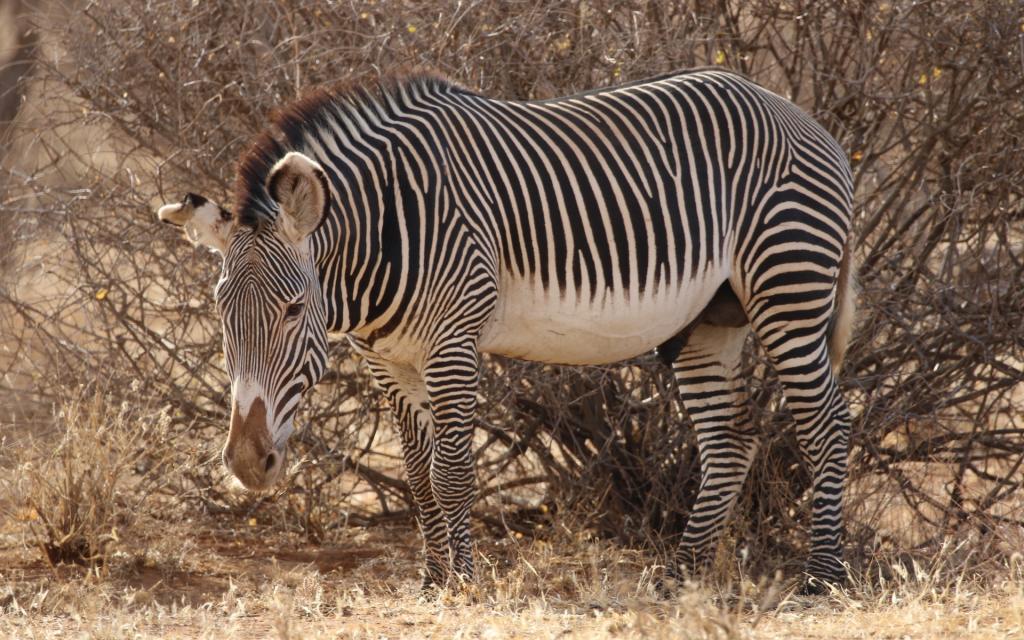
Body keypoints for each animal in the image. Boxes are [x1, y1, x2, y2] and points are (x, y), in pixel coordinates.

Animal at [157, 67, 856, 589]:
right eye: (223, 314)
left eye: (295, 310)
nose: (247, 464)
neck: (383, 235)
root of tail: (798, 113)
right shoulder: (390, 362)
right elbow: (419, 476)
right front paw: (433, 581)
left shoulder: (453, 344)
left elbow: (452, 474)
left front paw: (464, 584)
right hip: (709, 318)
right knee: (731, 440)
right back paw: (678, 576)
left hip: (788, 285)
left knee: (827, 426)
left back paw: (821, 580)